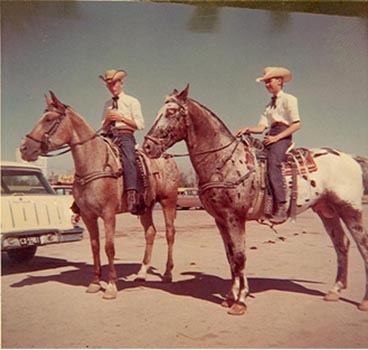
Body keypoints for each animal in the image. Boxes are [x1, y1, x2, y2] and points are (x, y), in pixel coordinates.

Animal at [19, 91, 180, 298]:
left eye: (48, 119)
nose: (24, 148)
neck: (93, 163)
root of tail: (169, 157)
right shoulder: (88, 216)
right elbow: (95, 246)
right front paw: (95, 282)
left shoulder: (108, 214)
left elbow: (109, 247)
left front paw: (111, 286)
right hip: (145, 207)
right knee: (150, 233)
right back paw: (142, 272)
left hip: (168, 202)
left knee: (169, 234)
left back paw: (168, 273)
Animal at [143, 85, 368, 318]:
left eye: (170, 112)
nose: (147, 147)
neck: (224, 161)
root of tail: (351, 158)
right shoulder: (221, 220)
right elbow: (231, 258)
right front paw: (230, 297)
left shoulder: (235, 218)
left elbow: (240, 257)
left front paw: (240, 302)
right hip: (327, 211)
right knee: (341, 244)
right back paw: (334, 291)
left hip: (350, 209)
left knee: (362, 246)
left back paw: (363, 302)